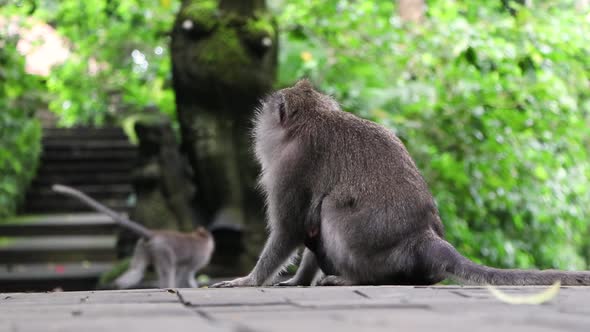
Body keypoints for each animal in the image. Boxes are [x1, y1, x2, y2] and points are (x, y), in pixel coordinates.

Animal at [52, 184, 215, 288]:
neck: (199, 238)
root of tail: (153, 233)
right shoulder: (199, 257)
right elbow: (188, 273)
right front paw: (191, 284)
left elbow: (183, 272)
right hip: (163, 251)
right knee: (168, 271)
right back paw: (167, 286)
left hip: (142, 247)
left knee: (137, 270)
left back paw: (118, 285)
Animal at [214, 80, 590, 288]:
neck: (313, 120)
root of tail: (424, 238)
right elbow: (306, 225)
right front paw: (298, 280)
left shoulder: (291, 167)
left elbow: (290, 227)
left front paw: (249, 280)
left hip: (375, 250)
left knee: (333, 207)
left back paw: (354, 277)